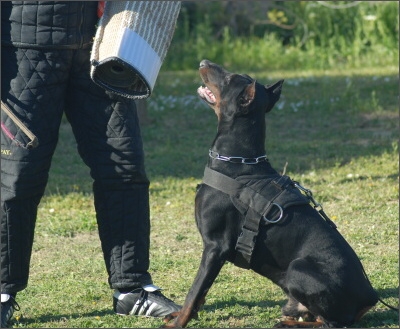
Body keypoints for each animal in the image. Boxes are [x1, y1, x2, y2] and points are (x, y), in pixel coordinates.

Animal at [162, 60, 378, 326]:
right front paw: (179, 313)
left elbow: (195, 291)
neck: (237, 162)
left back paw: (288, 323)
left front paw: (178, 323)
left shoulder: (215, 246)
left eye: (229, 77)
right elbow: (199, 294)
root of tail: (369, 298)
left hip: (297, 269)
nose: (203, 62)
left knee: (331, 323)